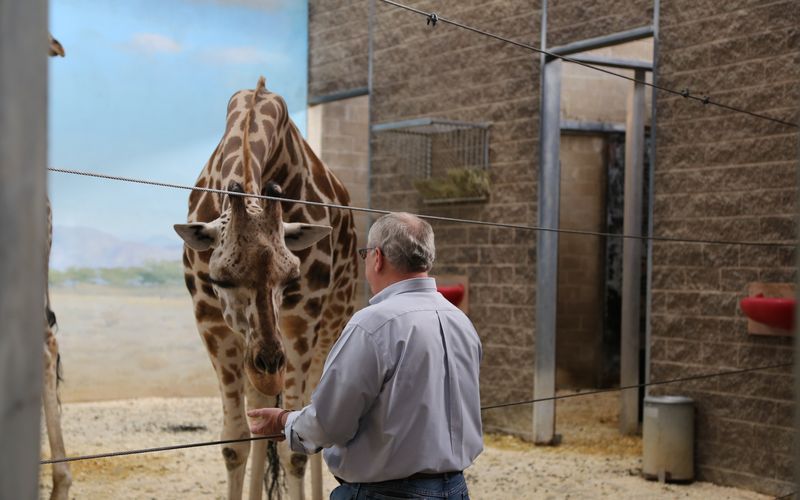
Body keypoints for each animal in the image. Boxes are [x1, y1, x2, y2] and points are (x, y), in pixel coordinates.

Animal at [176, 75, 360, 500]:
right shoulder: (212, 323)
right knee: (261, 418)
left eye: (291, 276)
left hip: (332, 324)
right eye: (219, 278)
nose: (269, 367)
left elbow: (296, 447)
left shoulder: (300, 322)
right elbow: (234, 441)